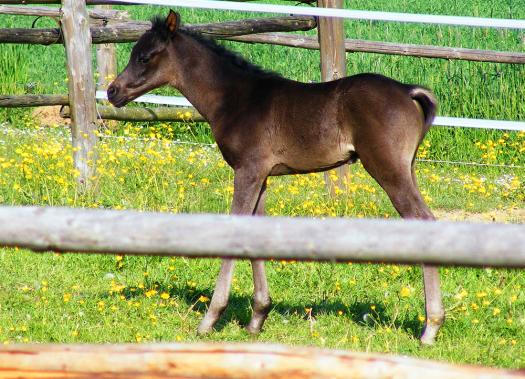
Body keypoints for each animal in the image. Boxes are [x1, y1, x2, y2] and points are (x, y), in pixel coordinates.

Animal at [108, 11, 444, 344]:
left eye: (144, 57)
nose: (112, 91)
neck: (234, 100)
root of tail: (408, 90)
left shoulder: (247, 170)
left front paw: (210, 318)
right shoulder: (262, 176)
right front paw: (257, 318)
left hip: (387, 169)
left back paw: (431, 327)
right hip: (407, 169)